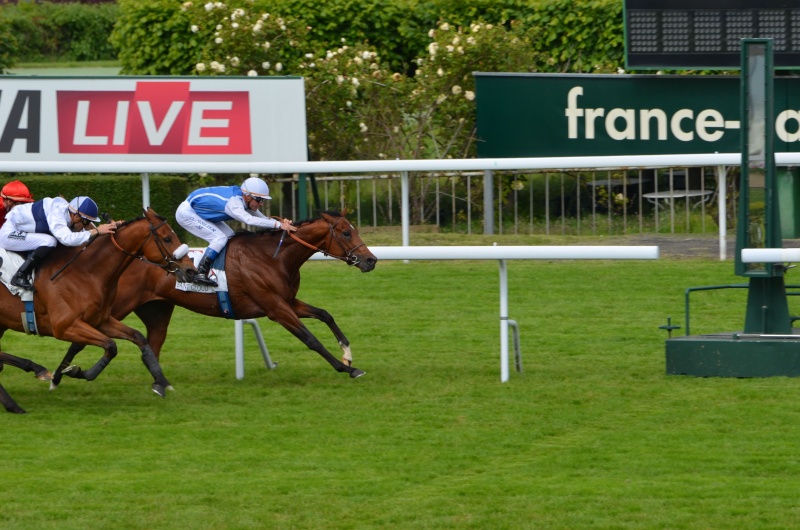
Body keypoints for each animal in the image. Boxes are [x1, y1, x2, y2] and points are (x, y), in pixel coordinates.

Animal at [0, 207, 195, 412]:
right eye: (167, 238)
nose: (191, 271)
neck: (86, 271)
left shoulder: (101, 320)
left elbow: (138, 337)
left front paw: (160, 382)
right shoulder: (64, 326)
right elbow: (111, 345)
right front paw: (78, 372)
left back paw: (16, 401)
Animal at [54, 209, 380, 384]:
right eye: (347, 233)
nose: (371, 260)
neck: (274, 257)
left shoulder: (288, 301)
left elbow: (325, 314)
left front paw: (347, 353)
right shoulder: (276, 308)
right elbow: (310, 339)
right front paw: (347, 368)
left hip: (156, 309)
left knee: (150, 342)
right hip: (116, 307)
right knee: (79, 337)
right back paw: (59, 374)